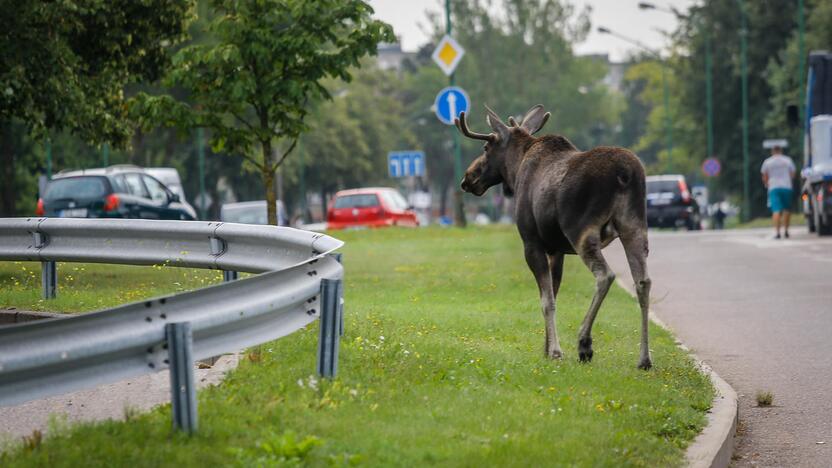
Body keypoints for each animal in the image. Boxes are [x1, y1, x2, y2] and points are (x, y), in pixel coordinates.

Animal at [458, 103, 652, 370]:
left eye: (486, 148)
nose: (468, 178)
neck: (516, 170)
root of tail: (625, 174)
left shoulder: (532, 243)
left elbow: (546, 300)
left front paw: (556, 351)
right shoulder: (557, 250)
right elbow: (553, 292)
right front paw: (546, 347)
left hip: (581, 230)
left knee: (605, 275)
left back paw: (584, 344)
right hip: (634, 226)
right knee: (643, 281)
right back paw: (644, 359)